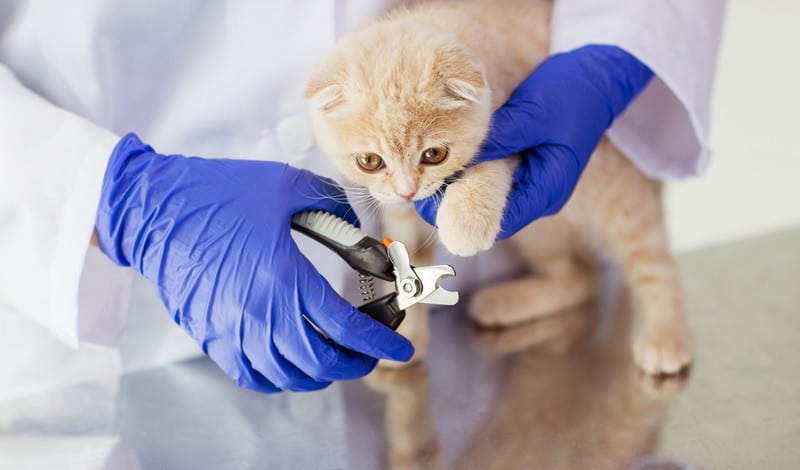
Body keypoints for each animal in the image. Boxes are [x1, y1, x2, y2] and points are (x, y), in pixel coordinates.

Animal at [304, 0, 692, 374]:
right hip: (540, 232)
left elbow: (485, 170)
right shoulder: (398, 212)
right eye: (370, 161)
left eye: (434, 154)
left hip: (618, 196)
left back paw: (666, 335)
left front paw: (465, 222)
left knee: (651, 261)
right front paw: (406, 337)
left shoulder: (511, 130)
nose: (407, 192)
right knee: (582, 275)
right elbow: (407, 256)